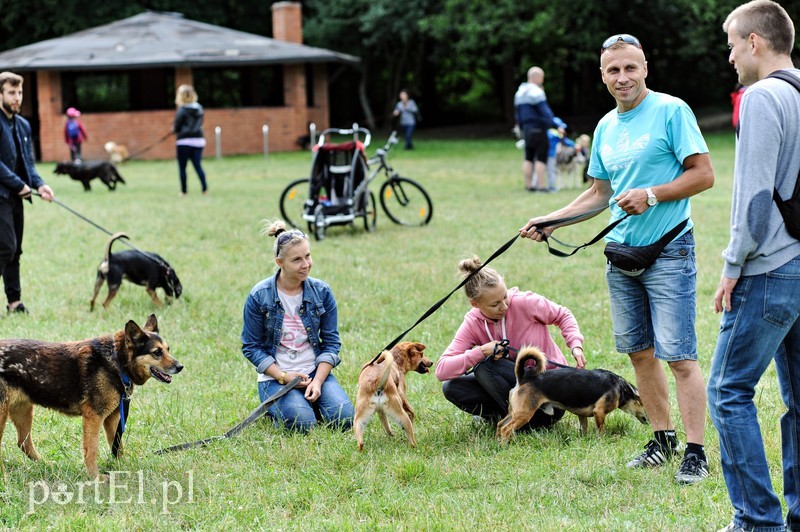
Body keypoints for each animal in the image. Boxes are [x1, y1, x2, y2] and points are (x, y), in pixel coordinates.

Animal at [0, 314, 181, 480]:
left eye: (168, 349)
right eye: (157, 352)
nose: (180, 367)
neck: (117, 360)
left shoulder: (112, 418)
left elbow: (118, 446)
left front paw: (121, 469)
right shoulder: (94, 417)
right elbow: (92, 450)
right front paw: (95, 478)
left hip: (23, 411)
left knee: (23, 443)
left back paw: (47, 466)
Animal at [494, 348, 648, 442]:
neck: (621, 387)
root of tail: (524, 379)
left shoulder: (582, 415)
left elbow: (584, 428)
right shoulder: (599, 413)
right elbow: (601, 430)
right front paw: (601, 441)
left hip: (515, 412)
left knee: (500, 424)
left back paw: (498, 442)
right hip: (524, 413)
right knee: (506, 428)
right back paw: (504, 446)